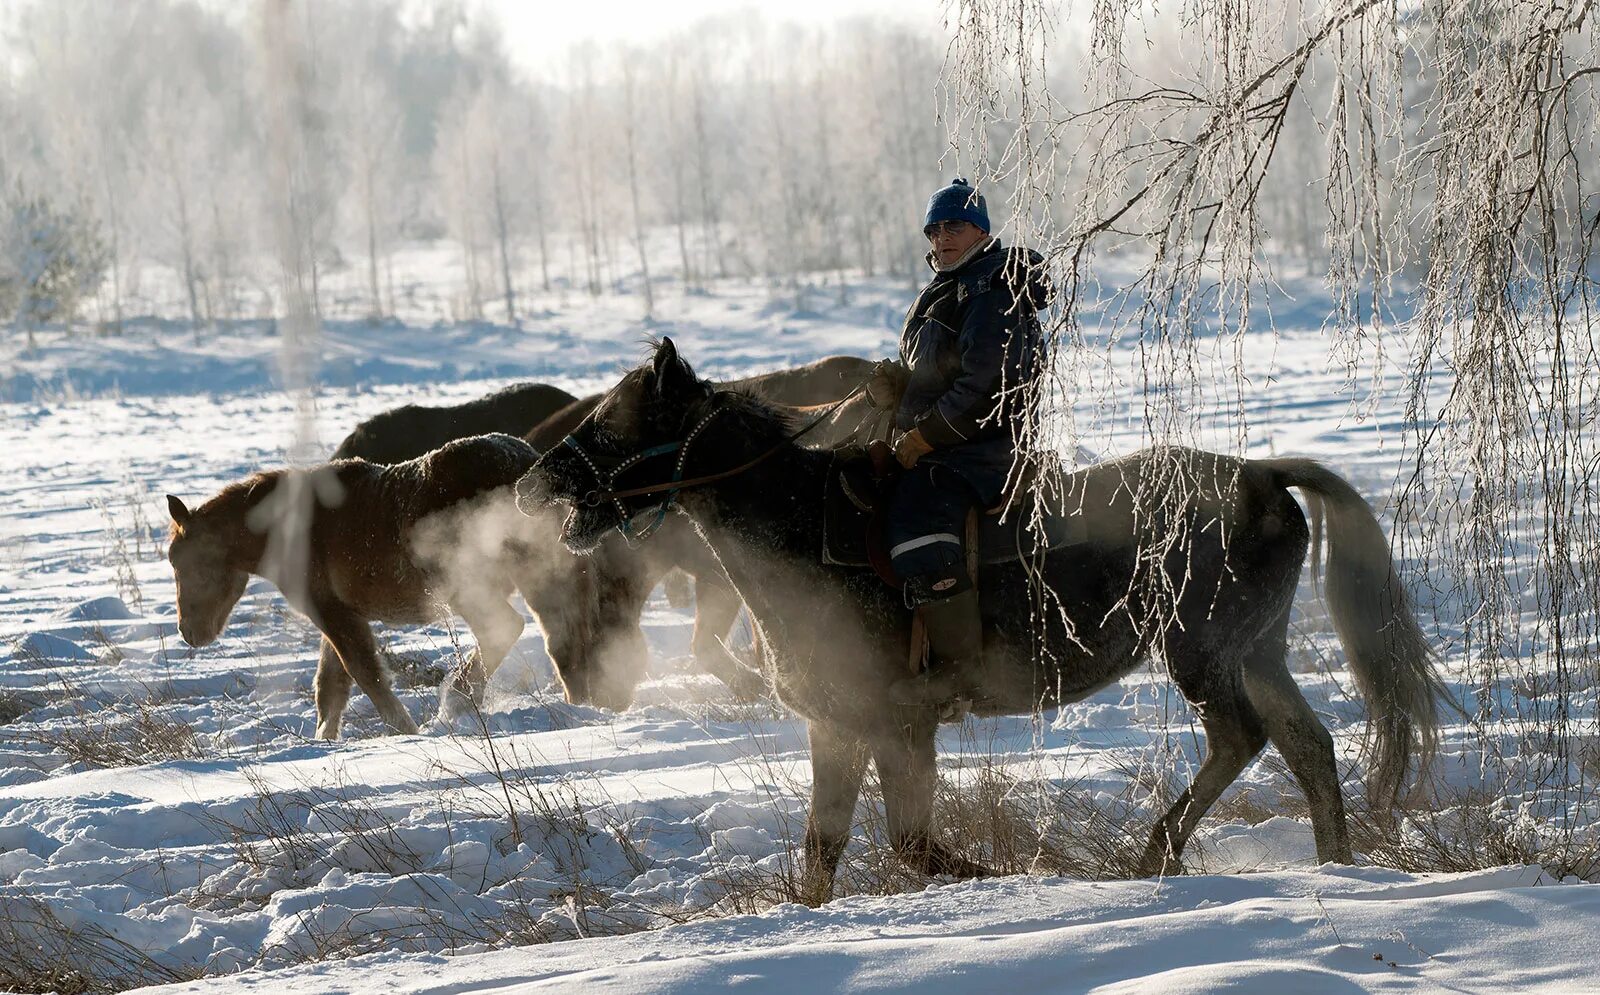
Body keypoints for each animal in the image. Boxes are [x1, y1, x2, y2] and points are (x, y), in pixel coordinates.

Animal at [159, 435, 640, 742]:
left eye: (182, 562)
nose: (190, 633)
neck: (290, 526)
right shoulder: (341, 613)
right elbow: (330, 685)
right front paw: (324, 740)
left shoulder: (333, 613)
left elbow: (365, 675)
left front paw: (403, 730)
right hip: (541, 581)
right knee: (563, 644)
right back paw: (578, 709)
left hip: (471, 587)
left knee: (505, 631)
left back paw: (458, 701)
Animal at [524, 340, 1452, 902]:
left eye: (613, 422)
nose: (537, 480)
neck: (804, 532)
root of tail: (1264, 477)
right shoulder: (838, 725)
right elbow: (824, 850)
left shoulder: (900, 726)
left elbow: (914, 844)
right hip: (1257, 649)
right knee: (1307, 744)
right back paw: (1335, 862)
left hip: (1202, 650)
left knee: (1241, 737)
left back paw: (1159, 852)